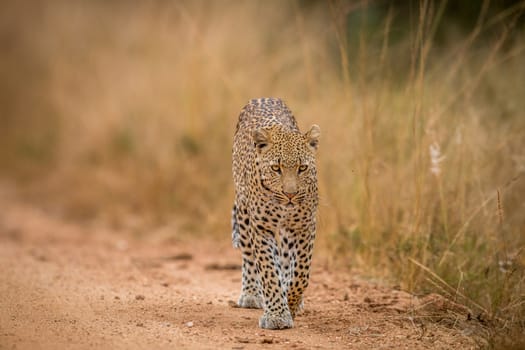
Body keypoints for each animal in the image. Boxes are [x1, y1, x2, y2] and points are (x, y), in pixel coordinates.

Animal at [232, 97, 320, 330]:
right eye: (275, 168)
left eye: (302, 168)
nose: (290, 194)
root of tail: (264, 98)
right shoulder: (262, 228)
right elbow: (268, 271)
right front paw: (277, 315)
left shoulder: (305, 225)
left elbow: (301, 272)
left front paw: (291, 302)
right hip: (243, 213)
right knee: (249, 257)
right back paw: (251, 295)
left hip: (288, 232)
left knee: (286, 259)